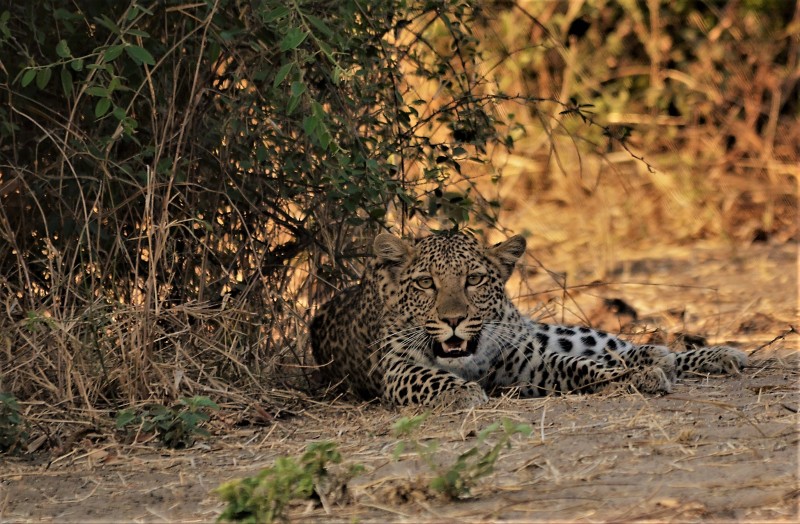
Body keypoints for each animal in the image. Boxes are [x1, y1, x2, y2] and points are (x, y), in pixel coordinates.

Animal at [310, 231, 748, 408]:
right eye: (425, 283)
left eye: (473, 280)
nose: (453, 320)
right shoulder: (397, 369)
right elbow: (431, 377)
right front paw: (462, 393)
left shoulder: (528, 361)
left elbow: (580, 365)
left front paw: (636, 377)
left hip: (540, 333)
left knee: (609, 344)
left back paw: (702, 356)